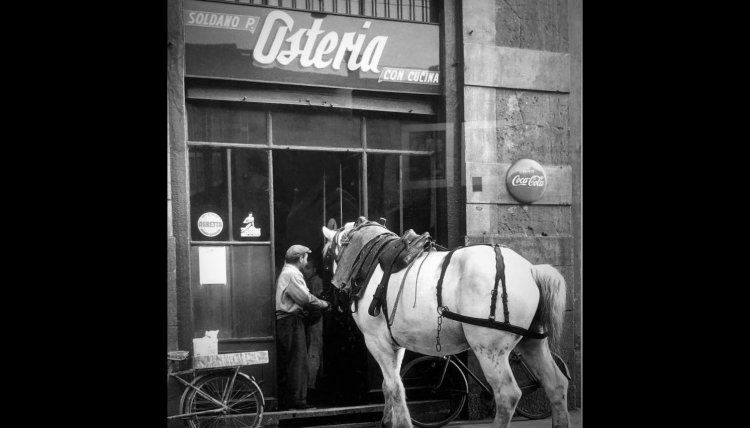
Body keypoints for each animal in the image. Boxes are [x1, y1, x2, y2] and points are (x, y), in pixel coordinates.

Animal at [320, 219, 572, 426]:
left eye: (326, 256)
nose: (327, 294)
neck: (367, 258)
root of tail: (531, 270)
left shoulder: (376, 341)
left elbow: (394, 387)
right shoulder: (394, 343)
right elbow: (389, 384)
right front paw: (388, 420)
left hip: (490, 349)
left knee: (508, 395)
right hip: (532, 342)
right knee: (556, 385)